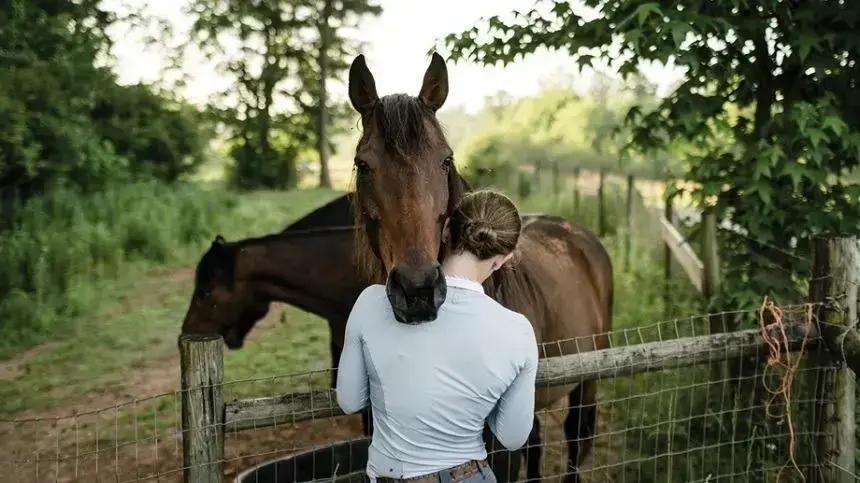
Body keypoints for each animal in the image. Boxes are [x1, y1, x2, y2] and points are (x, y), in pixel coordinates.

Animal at [347, 53, 613, 482]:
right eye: (363, 164)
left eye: (446, 160)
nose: (418, 290)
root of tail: (575, 232)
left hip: (589, 376)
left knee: (574, 438)